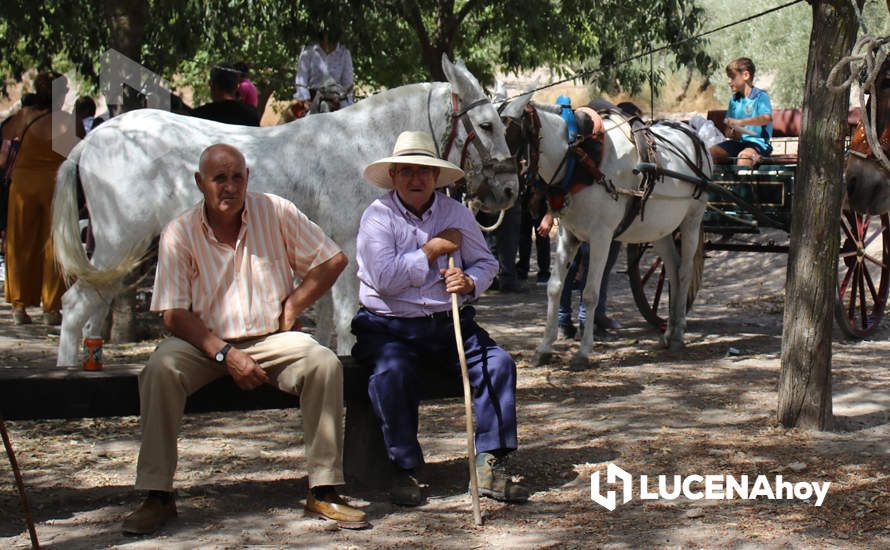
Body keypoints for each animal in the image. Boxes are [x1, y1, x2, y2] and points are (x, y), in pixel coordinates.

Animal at [53, 56, 512, 366]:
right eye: (487, 125)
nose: (508, 189)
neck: (360, 146)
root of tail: (91, 140)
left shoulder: (327, 254)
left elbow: (327, 320)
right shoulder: (354, 250)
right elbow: (346, 318)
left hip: (126, 252)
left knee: (95, 306)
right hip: (118, 243)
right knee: (75, 306)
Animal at [500, 97, 716, 368]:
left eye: (512, 136)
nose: (500, 191)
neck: (581, 158)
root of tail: (693, 135)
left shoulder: (601, 236)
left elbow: (590, 293)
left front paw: (583, 352)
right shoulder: (568, 234)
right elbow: (555, 287)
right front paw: (544, 347)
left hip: (692, 219)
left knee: (685, 271)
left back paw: (678, 335)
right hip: (659, 229)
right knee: (673, 270)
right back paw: (669, 331)